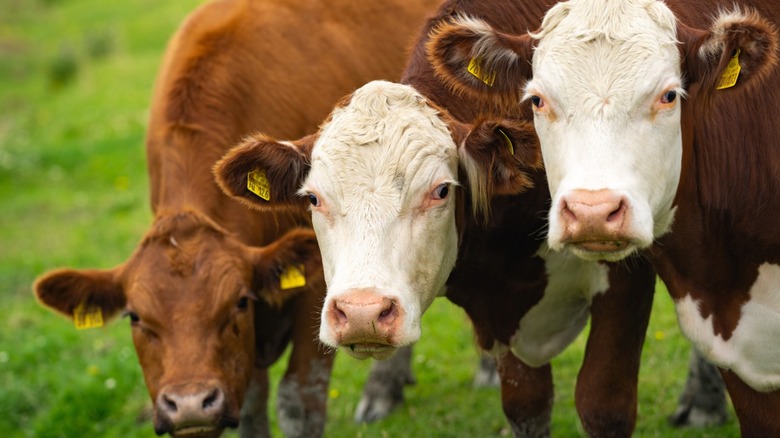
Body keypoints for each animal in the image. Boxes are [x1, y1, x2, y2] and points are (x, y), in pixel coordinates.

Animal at [32, 0, 440, 436]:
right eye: (134, 317)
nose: (190, 405)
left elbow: (299, 398)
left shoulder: (321, 289)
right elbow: (250, 404)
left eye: (237, 303)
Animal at [213, 1, 666, 435]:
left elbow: (603, 407)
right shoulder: (505, 314)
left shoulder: (625, 283)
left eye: (441, 191)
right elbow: (526, 407)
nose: (362, 314)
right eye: (312, 198)